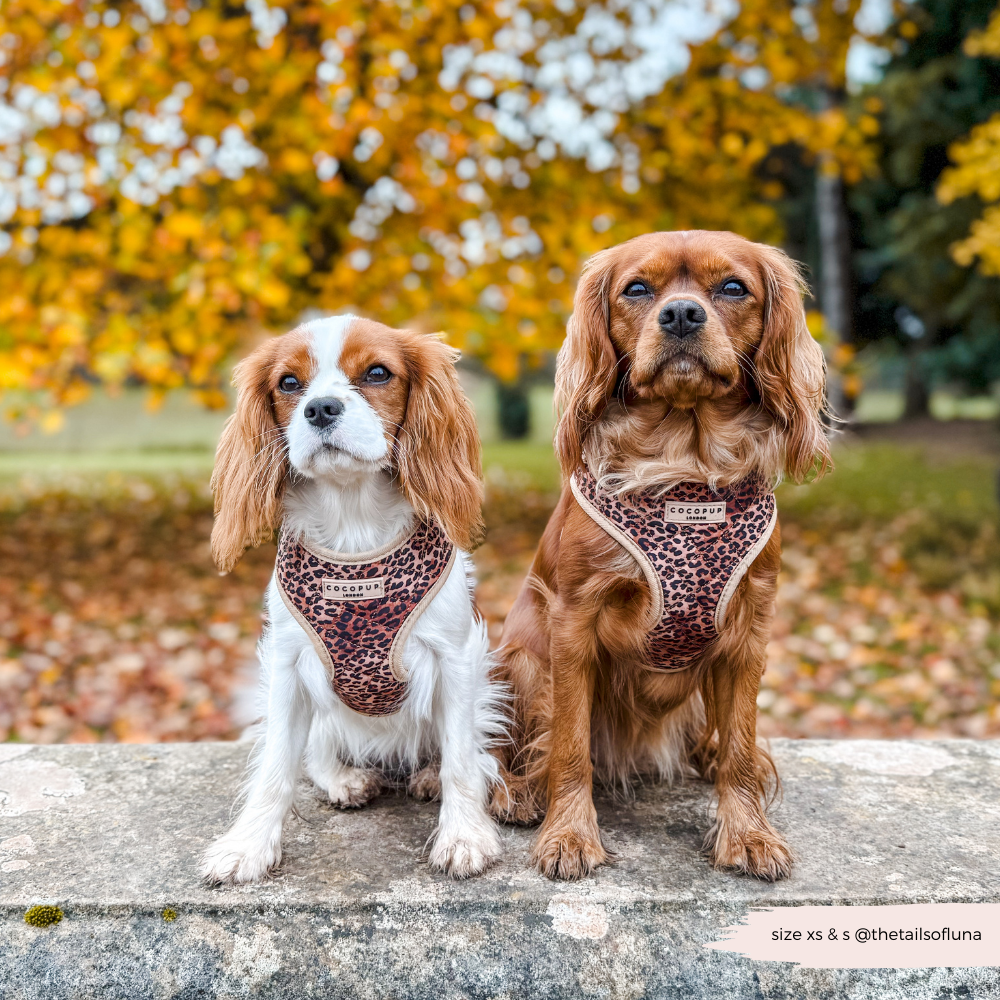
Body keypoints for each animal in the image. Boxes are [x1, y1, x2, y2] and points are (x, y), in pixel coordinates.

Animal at [490, 230, 828, 880]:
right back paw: (517, 790)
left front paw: (747, 832)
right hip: (518, 660)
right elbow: (569, 746)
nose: (680, 314)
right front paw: (569, 835)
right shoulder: (572, 622)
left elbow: (742, 746)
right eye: (638, 289)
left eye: (733, 288)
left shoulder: (749, 630)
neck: (685, 468)